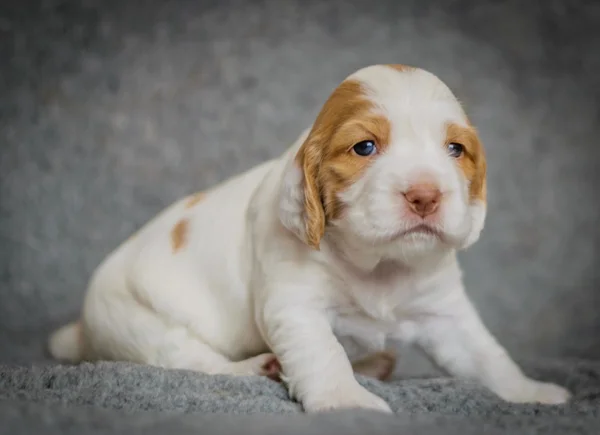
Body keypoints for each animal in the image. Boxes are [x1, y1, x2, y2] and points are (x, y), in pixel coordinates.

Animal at [48, 63, 572, 412]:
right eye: (365, 147)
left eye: (455, 149)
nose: (425, 195)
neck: (378, 263)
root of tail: (82, 329)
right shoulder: (295, 306)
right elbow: (323, 354)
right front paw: (347, 403)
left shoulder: (446, 312)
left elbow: (486, 355)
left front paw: (530, 392)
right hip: (139, 324)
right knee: (191, 360)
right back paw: (257, 368)